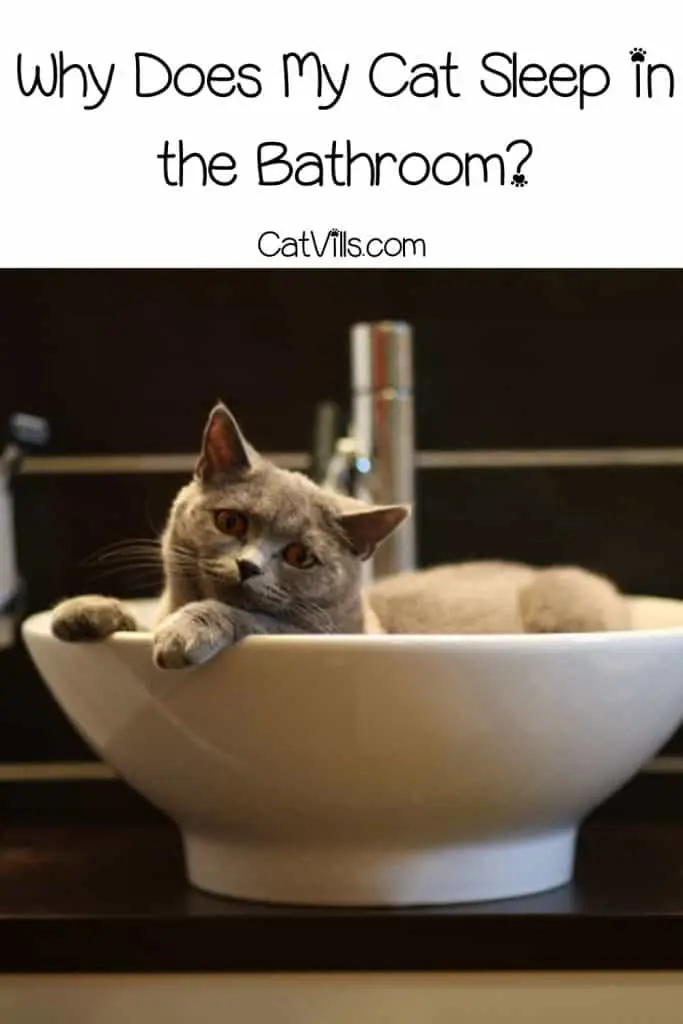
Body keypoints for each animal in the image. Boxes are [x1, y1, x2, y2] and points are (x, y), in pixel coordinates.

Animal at [52, 403, 630, 667]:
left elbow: (252, 615)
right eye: (231, 522)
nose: (248, 565)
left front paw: (185, 633)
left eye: (299, 555)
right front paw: (82, 611)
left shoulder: (319, 636)